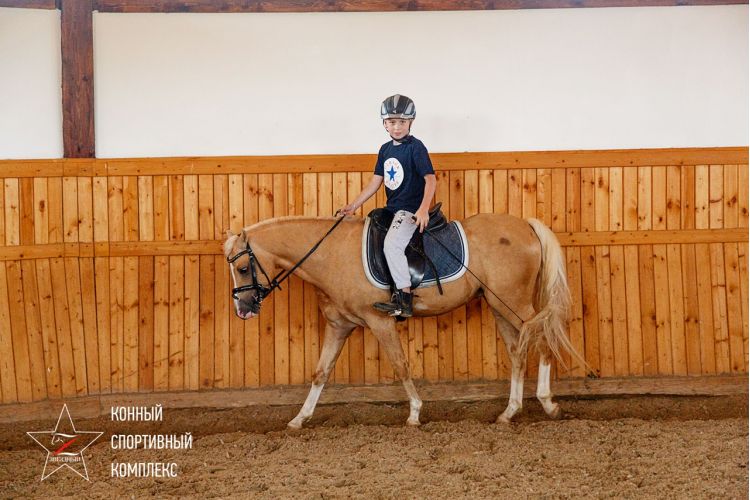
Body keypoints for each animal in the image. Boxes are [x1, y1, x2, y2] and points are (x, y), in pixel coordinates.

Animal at [223, 213, 580, 428]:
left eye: (243, 267)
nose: (244, 308)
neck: (332, 255)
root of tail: (525, 226)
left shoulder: (379, 321)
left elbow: (401, 364)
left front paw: (415, 413)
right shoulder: (340, 326)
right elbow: (320, 372)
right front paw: (300, 418)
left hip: (515, 303)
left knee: (543, 338)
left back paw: (548, 404)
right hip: (498, 305)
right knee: (518, 351)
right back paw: (509, 412)